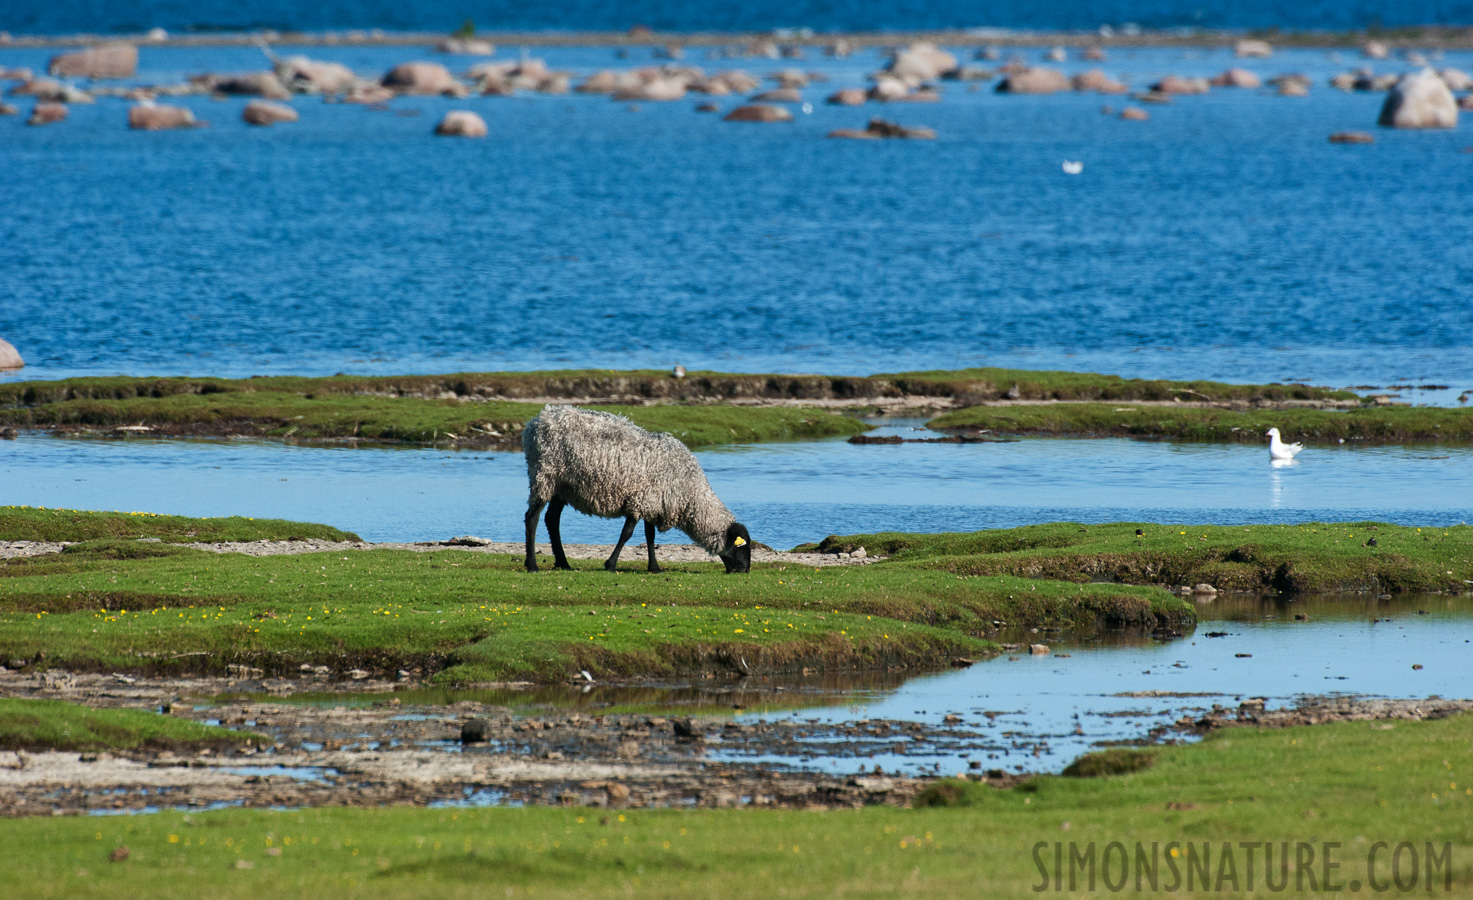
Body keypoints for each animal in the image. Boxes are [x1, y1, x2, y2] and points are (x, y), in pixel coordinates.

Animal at [521, 403, 754, 574]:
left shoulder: (652, 501)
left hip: (562, 485)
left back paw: (563, 562)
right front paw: (610, 564)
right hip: (544, 475)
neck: (689, 492)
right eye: (742, 547)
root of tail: (537, 421)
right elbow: (627, 533)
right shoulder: (639, 501)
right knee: (532, 517)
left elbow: (650, 536)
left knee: (552, 519)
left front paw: (654, 567)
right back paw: (532, 565)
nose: (745, 570)